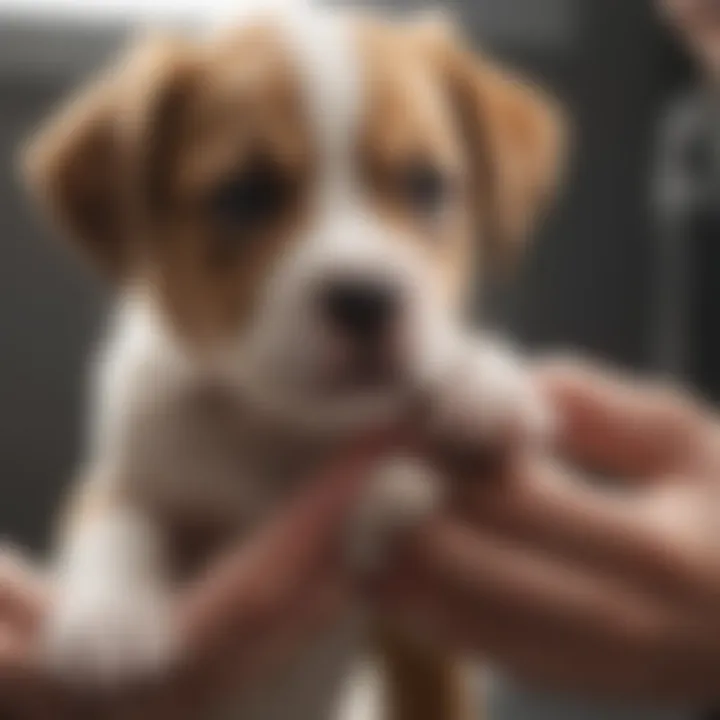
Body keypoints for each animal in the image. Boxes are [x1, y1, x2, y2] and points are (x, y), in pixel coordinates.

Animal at [21, 7, 564, 720]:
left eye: (426, 184)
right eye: (245, 195)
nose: (365, 298)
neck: (284, 428)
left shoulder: (424, 646)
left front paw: (475, 383)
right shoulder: (128, 470)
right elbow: (119, 518)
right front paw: (106, 625)